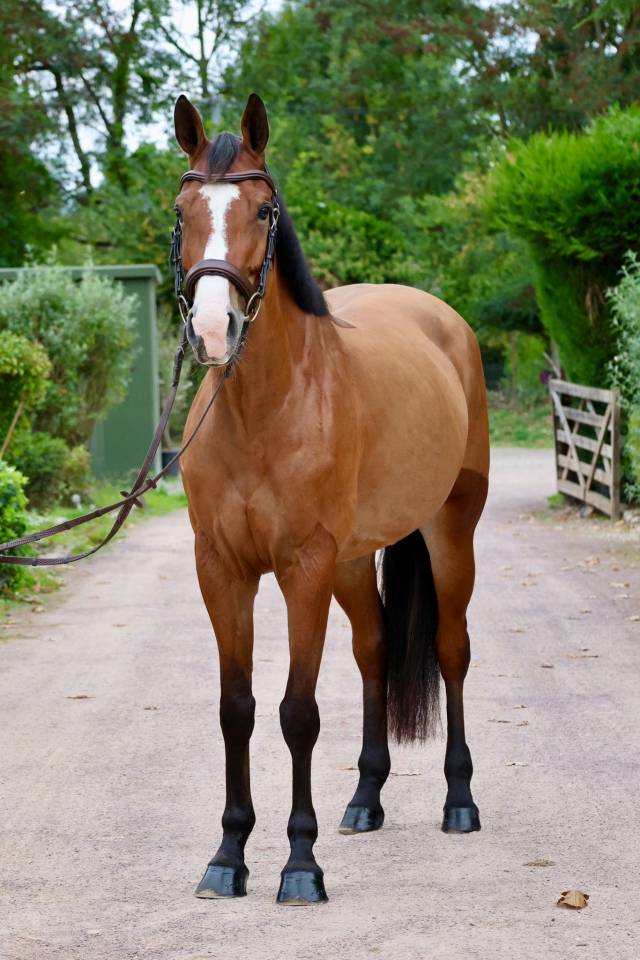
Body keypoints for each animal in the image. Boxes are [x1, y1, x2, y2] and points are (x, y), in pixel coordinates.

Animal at [173, 92, 489, 905]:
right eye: (182, 209)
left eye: (262, 210)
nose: (213, 330)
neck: (263, 409)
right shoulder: (221, 570)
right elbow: (237, 710)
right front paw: (228, 856)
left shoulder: (302, 569)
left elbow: (298, 713)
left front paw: (299, 865)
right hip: (352, 559)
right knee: (375, 648)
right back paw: (366, 799)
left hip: (450, 533)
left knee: (451, 650)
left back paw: (460, 800)